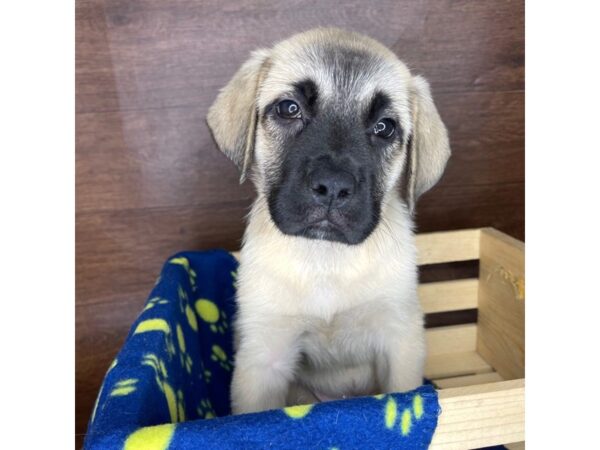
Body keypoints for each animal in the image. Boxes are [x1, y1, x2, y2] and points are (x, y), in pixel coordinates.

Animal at [209, 29, 448, 414]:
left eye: (385, 127)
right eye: (289, 108)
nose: (333, 187)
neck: (327, 259)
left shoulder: (400, 341)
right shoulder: (265, 355)